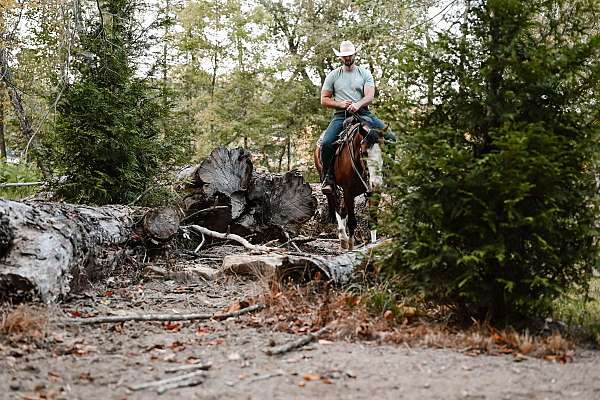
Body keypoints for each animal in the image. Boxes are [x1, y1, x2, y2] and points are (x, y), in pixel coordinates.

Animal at [314, 113, 384, 250]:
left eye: (384, 152)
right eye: (364, 152)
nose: (377, 182)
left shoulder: (373, 192)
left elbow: (373, 221)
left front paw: (373, 246)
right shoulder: (348, 192)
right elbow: (352, 222)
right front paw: (351, 247)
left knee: (342, 210)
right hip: (330, 184)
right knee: (336, 206)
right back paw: (342, 237)